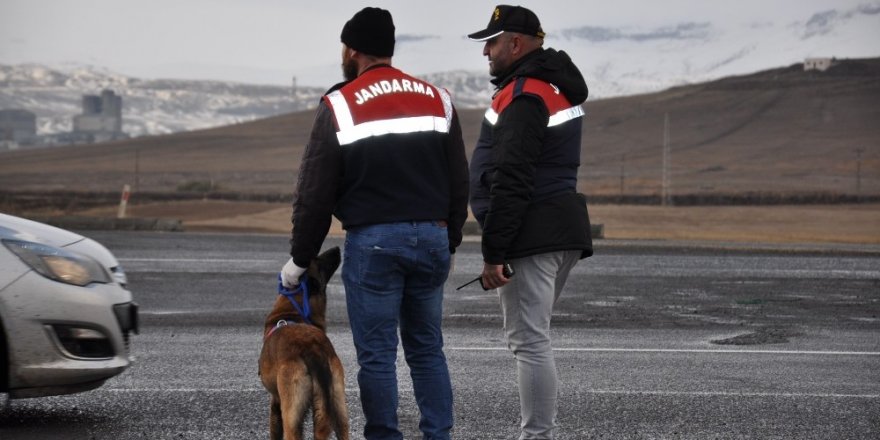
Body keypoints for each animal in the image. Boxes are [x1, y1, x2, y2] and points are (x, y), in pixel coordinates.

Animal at [258, 248, 348, 440]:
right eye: (317, 258)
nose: (337, 249)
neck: (292, 310)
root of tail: (313, 349)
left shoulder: (275, 404)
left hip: (291, 414)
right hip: (339, 409)